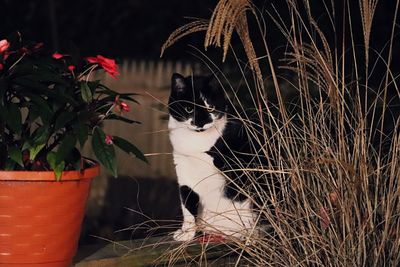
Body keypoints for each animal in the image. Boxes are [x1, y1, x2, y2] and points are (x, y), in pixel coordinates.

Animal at [166, 73, 258, 243]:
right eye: (189, 108)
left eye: (210, 107)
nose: (200, 123)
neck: (194, 143)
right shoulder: (183, 170)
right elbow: (187, 205)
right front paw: (186, 233)